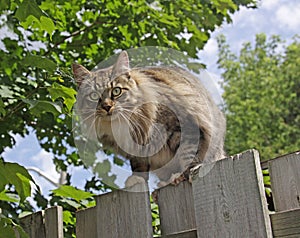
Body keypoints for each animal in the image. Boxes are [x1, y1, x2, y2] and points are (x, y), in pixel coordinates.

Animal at [72, 50, 225, 188]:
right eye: (94, 96)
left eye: (116, 91)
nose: (107, 107)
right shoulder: (136, 149)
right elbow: (139, 166)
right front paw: (136, 180)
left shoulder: (185, 127)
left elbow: (187, 155)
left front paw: (182, 175)